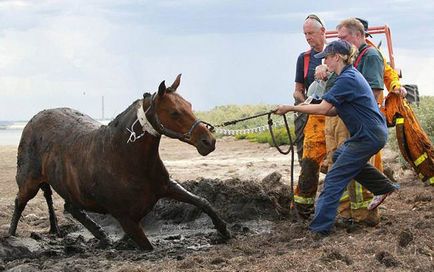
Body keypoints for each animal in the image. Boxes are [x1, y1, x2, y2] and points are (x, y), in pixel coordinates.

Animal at [8, 73, 231, 250]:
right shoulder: (126, 219)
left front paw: (224, 230)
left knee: (70, 208)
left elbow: (202, 201)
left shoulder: (166, 186)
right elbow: (148, 246)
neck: (124, 158)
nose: (208, 141)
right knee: (20, 202)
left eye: (190, 105)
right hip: (29, 183)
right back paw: (11, 235)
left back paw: (101, 235)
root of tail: (34, 119)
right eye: (174, 112)